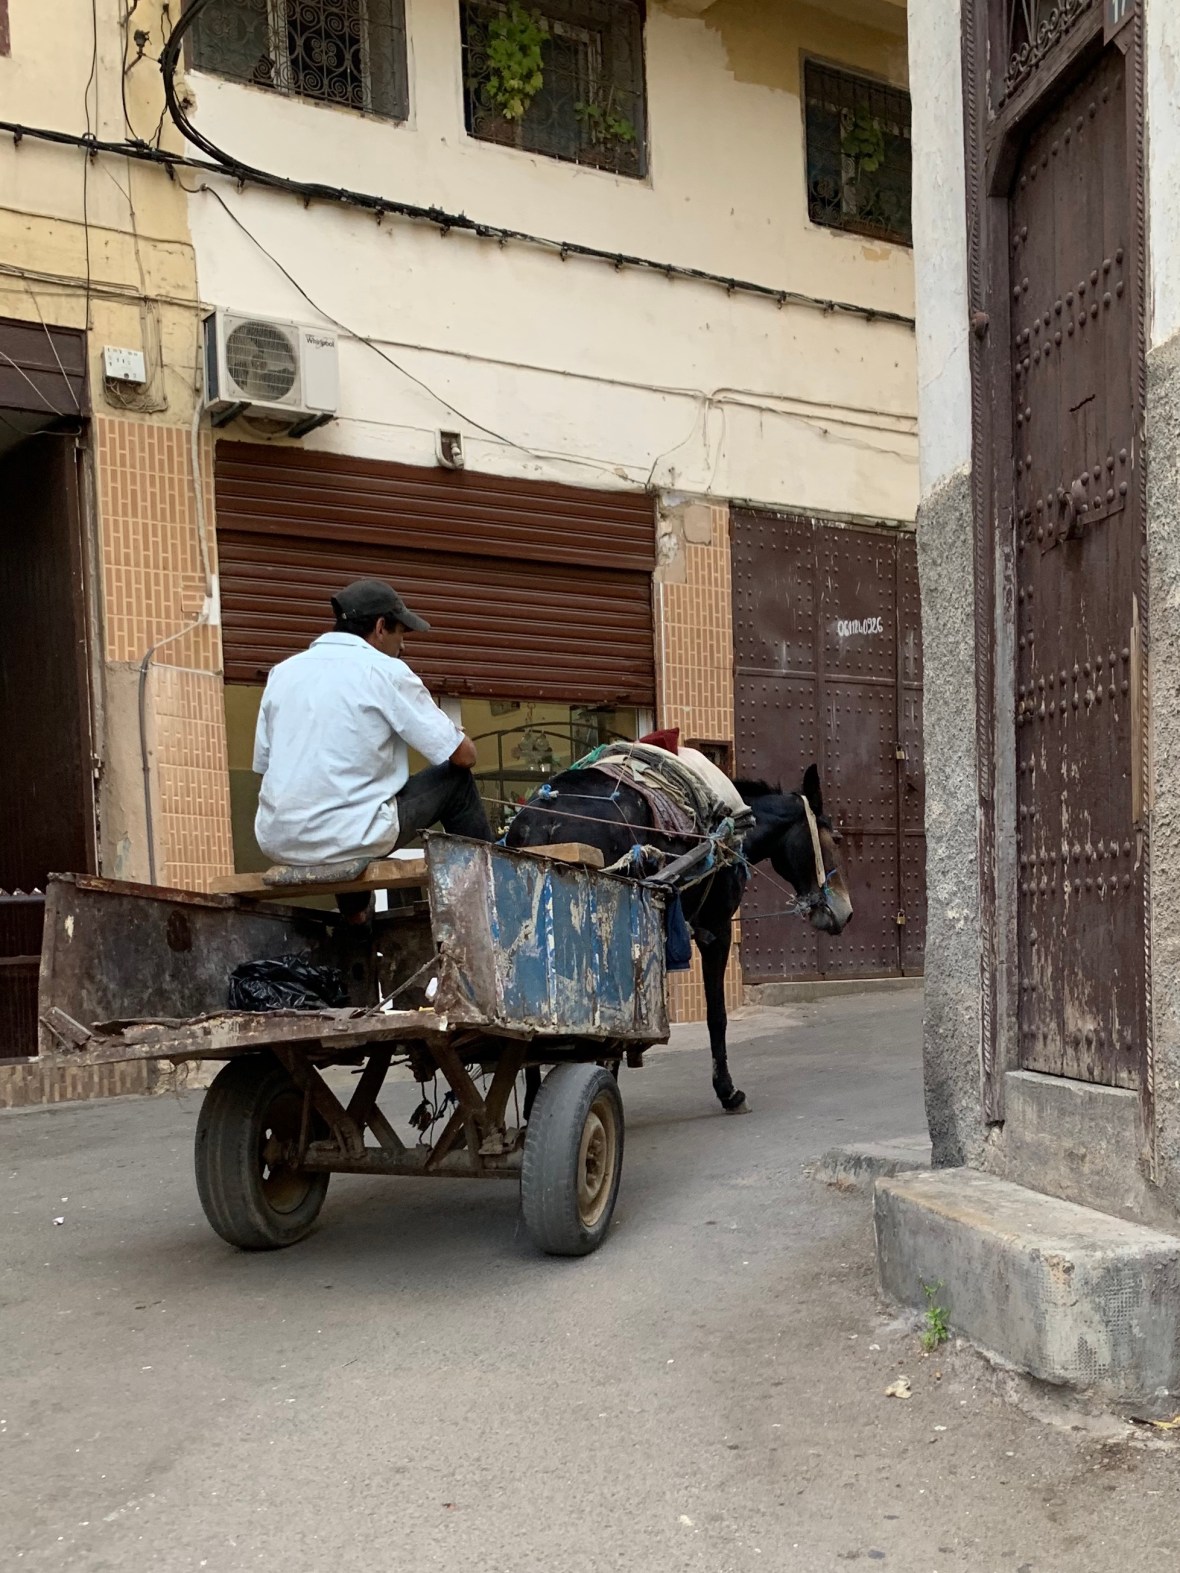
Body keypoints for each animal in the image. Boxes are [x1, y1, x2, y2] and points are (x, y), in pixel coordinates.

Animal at [505, 761, 853, 1114]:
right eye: (836, 838)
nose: (846, 912)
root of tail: (541, 820)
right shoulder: (717, 929)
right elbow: (716, 1015)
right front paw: (728, 1091)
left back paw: (534, 1102)